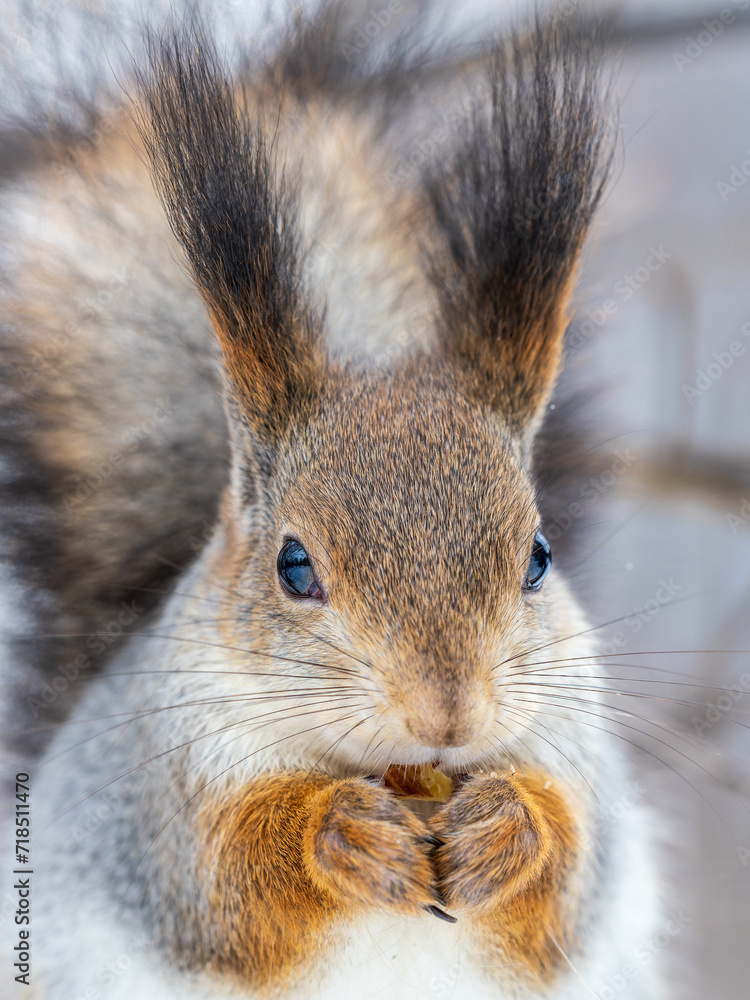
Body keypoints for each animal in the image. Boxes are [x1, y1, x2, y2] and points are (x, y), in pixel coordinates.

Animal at [0, 4, 662, 999]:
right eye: (294, 566)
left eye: (539, 558)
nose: (446, 716)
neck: (397, 773)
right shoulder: (163, 808)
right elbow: (232, 887)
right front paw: (340, 834)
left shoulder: (576, 759)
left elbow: (564, 883)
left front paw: (507, 828)